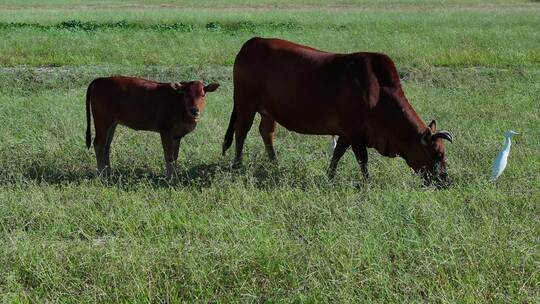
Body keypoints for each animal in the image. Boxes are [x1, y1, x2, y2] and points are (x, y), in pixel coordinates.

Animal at [85, 75, 219, 177]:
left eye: (203, 94)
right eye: (187, 95)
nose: (194, 110)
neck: (179, 105)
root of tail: (100, 79)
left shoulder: (177, 136)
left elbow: (175, 156)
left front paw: (175, 175)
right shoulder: (165, 131)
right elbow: (169, 156)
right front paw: (170, 177)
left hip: (112, 124)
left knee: (106, 147)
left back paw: (108, 172)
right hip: (102, 121)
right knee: (98, 144)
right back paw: (101, 174)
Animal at [221, 38, 454, 185]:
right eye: (438, 154)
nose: (445, 181)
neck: (379, 94)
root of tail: (249, 44)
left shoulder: (346, 134)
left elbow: (337, 154)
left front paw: (330, 176)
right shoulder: (356, 134)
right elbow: (362, 159)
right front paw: (367, 183)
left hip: (269, 111)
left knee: (266, 132)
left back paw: (275, 163)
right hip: (246, 104)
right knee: (241, 132)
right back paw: (238, 165)